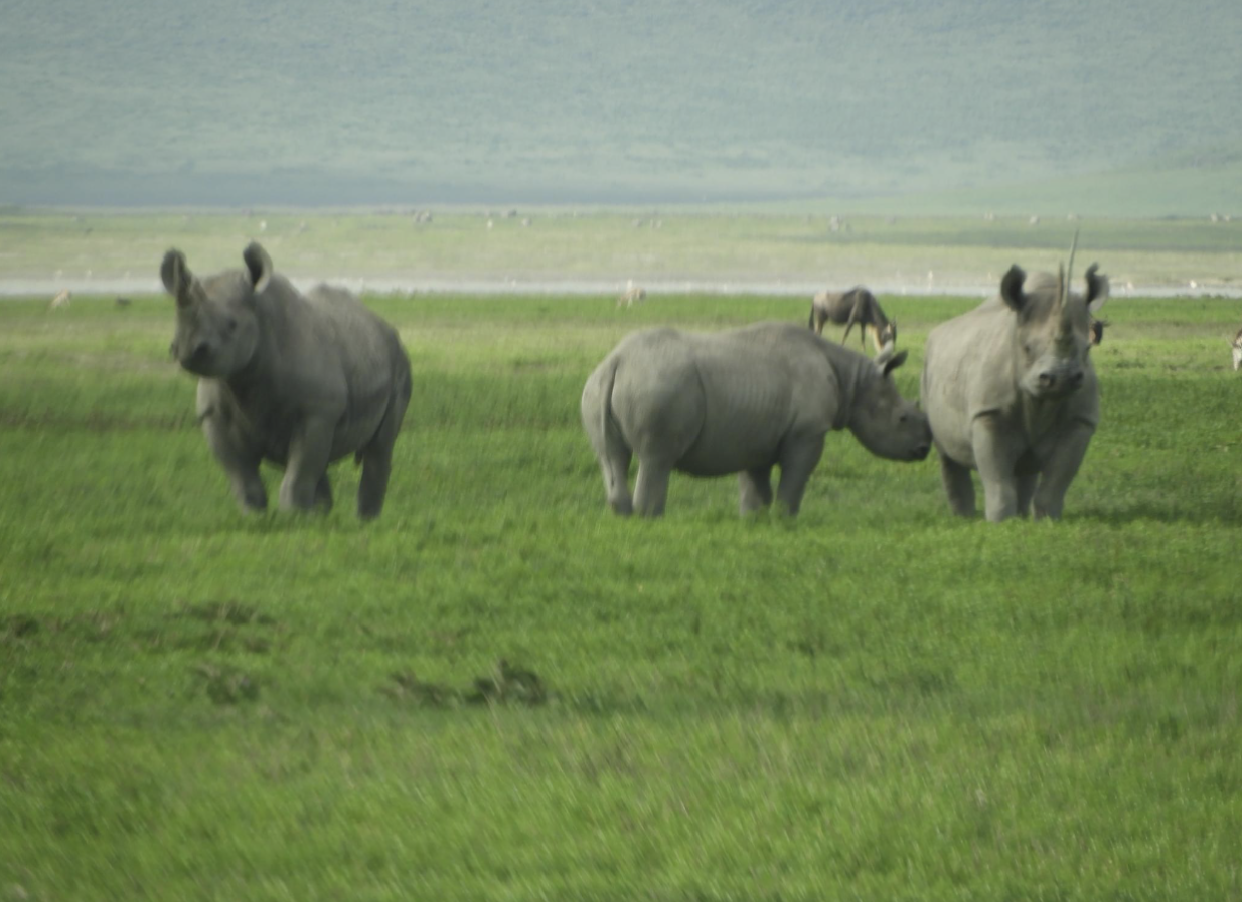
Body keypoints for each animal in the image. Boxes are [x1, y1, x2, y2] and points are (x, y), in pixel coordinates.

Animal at [161, 243, 411, 519]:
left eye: (232, 325)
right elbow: (243, 478)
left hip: (398, 360)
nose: (187, 350)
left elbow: (298, 474)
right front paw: (256, 518)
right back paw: (321, 517)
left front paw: (291, 518)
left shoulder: (318, 412)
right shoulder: (213, 414)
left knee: (378, 450)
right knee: (320, 465)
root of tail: (382, 323)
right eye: (176, 319)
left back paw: (365, 521)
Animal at [580, 322, 931, 517]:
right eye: (902, 419)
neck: (856, 382)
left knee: (611, 457)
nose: (924, 448)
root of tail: (618, 360)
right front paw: (784, 520)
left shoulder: (756, 434)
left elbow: (755, 486)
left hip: (597, 388)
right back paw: (651, 520)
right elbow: (795, 479)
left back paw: (626, 519)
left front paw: (754, 520)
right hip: (657, 385)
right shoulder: (807, 431)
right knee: (656, 458)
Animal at [920, 245, 1109, 521]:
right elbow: (997, 480)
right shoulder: (988, 413)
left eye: (1087, 349)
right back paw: (963, 517)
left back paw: (1021, 516)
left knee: (1026, 468)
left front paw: (1048, 521)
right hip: (929, 369)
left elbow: (1058, 480)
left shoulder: (1080, 421)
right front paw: (1000, 522)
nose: (1061, 377)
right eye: (1027, 348)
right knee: (947, 455)